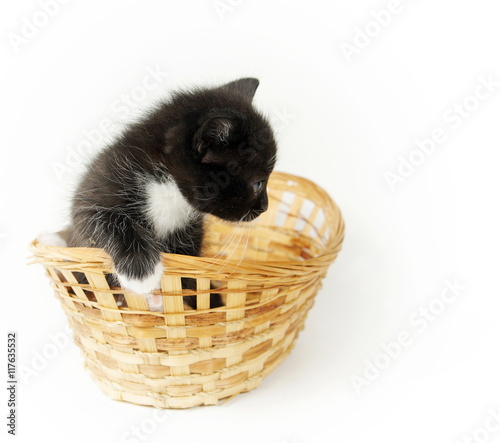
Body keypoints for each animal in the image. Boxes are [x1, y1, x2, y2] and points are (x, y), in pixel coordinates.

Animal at [51, 78, 278, 310]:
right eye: (258, 184)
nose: (265, 206)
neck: (169, 189)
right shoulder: (95, 190)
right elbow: (102, 219)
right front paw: (141, 274)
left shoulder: (190, 230)